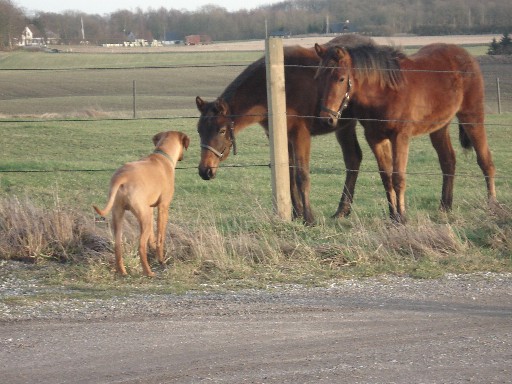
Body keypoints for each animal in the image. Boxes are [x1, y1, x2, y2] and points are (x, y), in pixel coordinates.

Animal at [93, 132, 189, 276]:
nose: (182, 157)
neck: (163, 156)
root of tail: (122, 177)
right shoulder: (163, 207)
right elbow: (160, 237)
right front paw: (161, 259)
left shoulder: (150, 208)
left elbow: (153, 236)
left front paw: (153, 248)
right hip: (145, 218)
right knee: (141, 246)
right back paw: (148, 272)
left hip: (120, 214)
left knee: (118, 244)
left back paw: (122, 271)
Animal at [194, 35, 374, 225]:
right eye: (199, 130)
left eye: (221, 130)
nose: (205, 170)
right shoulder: (283, 137)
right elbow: (289, 174)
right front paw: (296, 214)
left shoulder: (300, 134)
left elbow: (302, 175)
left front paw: (309, 218)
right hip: (344, 126)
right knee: (353, 158)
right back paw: (342, 211)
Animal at [314, 42, 498, 224]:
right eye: (319, 78)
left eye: (341, 78)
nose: (326, 118)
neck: (384, 92)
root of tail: (466, 55)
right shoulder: (375, 138)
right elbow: (386, 177)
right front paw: (392, 215)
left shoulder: (400, 137)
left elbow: (398, 177)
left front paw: (401, 217)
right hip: (439, 127)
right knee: (448, 161)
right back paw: (445, 207)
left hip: (472, 117)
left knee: (485, 161)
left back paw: (492, 205)